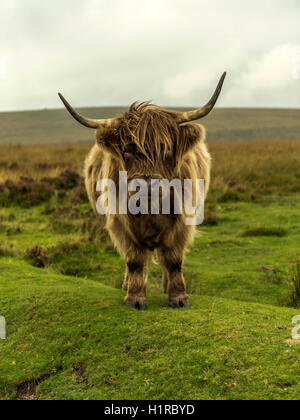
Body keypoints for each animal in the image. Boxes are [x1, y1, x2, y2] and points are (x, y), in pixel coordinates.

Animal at [58, 71, 226, 308]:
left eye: (166, 148)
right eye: (126, 150)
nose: (146, 185)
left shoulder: (182, 222)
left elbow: (174, 260)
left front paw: (179, 297)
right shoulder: (120, 223)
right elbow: (134, 260)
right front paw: (135, 297)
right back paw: (127, 284)